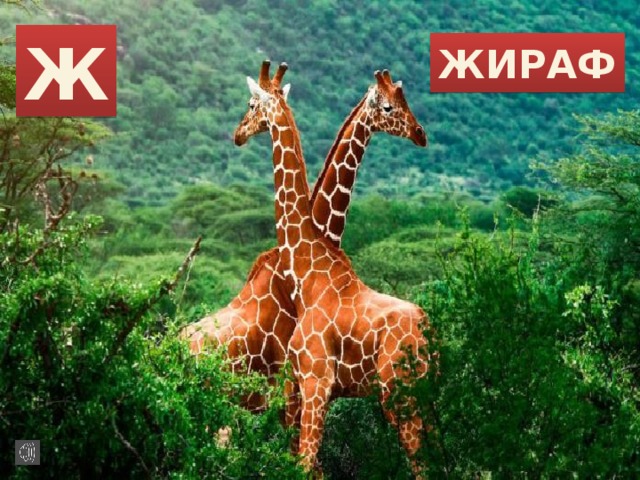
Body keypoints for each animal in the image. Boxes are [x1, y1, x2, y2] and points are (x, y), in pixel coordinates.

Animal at [233, 61, 435, 478]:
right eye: (390, 107)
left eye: (250, 104)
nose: (238, 133)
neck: (308, 269)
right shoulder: (300, 385)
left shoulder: (314, 382)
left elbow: (305, 464)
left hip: (400, 394)